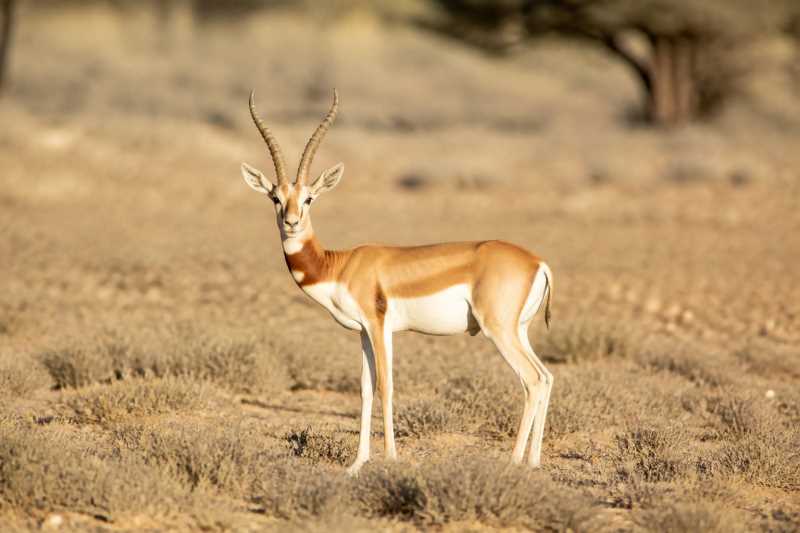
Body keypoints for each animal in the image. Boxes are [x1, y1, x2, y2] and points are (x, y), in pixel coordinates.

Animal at [241, 90, 554, 474]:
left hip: (500, 331)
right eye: (276, 198)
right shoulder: (362, 331)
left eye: (309, 198)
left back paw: (513, 464)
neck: (339, 265)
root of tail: (537, 262)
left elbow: (386, 386)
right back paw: (534, 463)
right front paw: (357, 464)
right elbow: (364, 389)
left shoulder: (380, 327)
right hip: (519, 331)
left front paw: (390, 458)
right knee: (546, 378)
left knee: (533, 380)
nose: (292, 222)